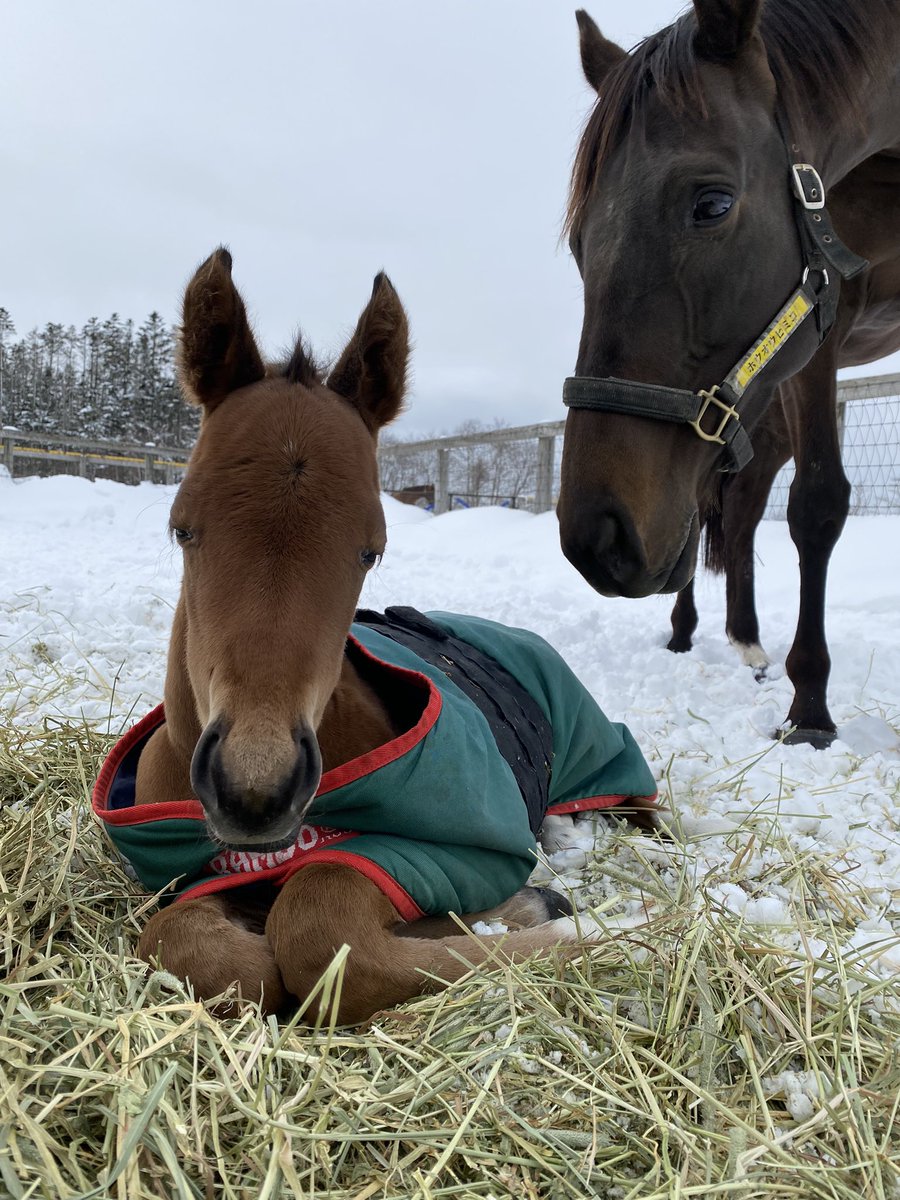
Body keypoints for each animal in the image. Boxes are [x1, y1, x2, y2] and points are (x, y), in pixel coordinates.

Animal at [561, 0, 897, 744]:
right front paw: (811, 710)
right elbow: (816, 503)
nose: (596, 538)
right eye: (578, 243)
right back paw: (694, 632)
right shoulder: (821, 331)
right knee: (726, 507)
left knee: (736, 507)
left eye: (711, 204)